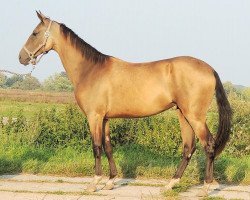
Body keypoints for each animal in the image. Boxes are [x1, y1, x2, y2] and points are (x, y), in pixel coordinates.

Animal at [18, 11, 231, 196]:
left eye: (35, 33)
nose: (21, 57)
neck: (91, 70)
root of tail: (209, 69)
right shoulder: (104, 119)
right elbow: (108, 147)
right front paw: (110, 181)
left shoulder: (94, 117)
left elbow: (96, 147)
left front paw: (94, 183)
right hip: (183, 114)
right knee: (189, 147)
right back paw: (171, 184)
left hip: (194, 116)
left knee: (208, 145)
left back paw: (206, 187)